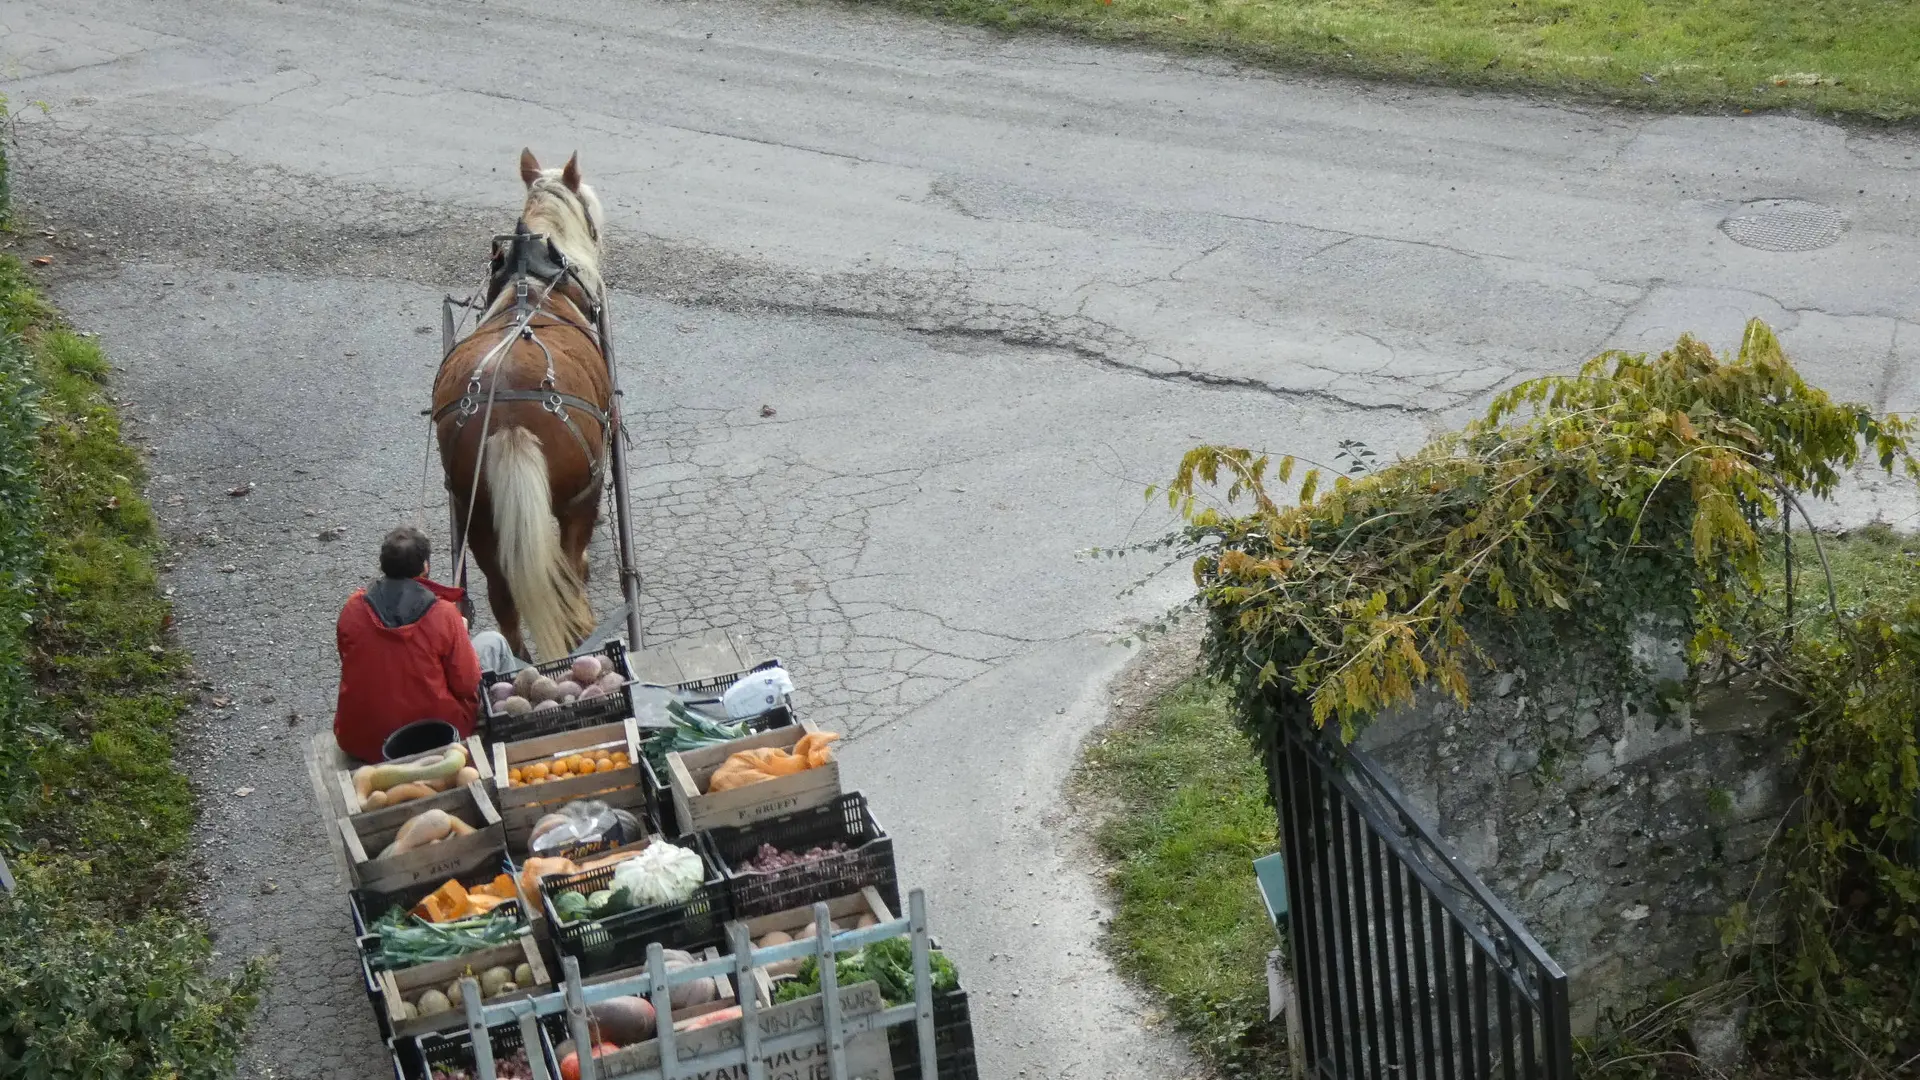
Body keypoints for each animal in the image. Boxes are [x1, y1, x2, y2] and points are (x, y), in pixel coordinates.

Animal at [433, 147, 606, 661]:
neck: (535, 280)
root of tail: (508, 418)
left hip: (478, 516)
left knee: (503, 599)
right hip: (577, 502)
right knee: (569, 587)